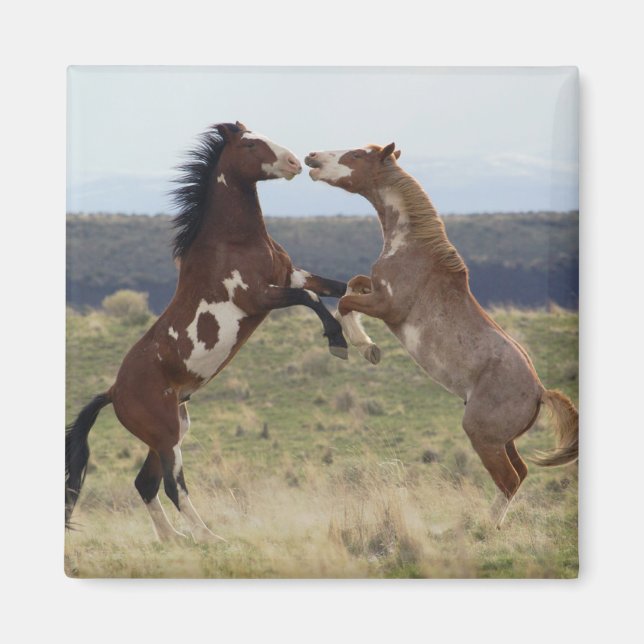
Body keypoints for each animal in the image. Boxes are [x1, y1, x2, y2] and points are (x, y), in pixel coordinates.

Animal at [66, 122, 349, 542]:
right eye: (250, 144)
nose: (295, 162)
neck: (234, 241)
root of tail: (114, 392)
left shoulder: (292, 275)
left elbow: (343, 287)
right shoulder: (260, 296)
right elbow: (312, 298)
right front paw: (338, 341)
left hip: (171, 432)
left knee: (145, 484)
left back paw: (175, 541)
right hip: (166, 436)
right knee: (172, 486)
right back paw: (208, 538)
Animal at [304, 143, 578, 528]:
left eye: (356, 155)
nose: (312, 157)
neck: (411, 248)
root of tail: (540, 391)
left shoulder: (389, 306)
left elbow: (345, 301)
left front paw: (365, 348)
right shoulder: (375, 290)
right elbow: (353, 285)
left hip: (482, 435)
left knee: (508, 479)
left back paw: (483, 528)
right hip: (504, 440)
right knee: (520, 473)